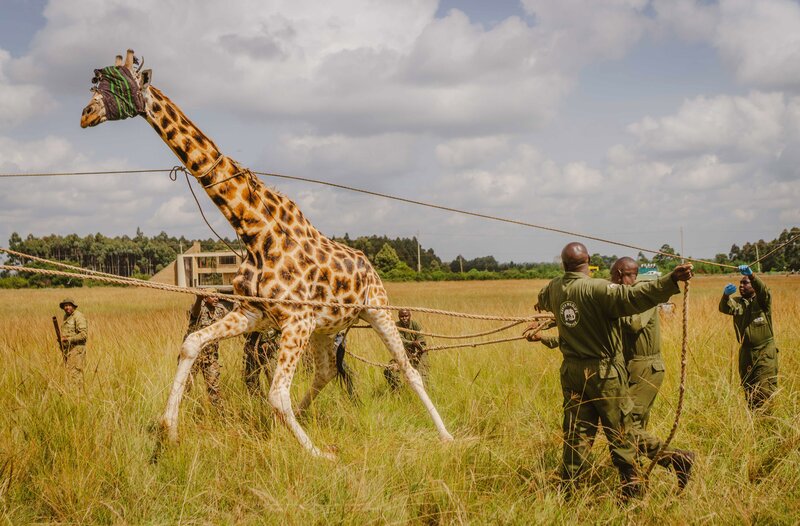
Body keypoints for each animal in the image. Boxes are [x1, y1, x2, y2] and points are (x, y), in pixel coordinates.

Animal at [80, 50, 453, 459]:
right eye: (97, 79)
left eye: (118, 82)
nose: (85, 114)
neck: (254, 231)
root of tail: (369, 264)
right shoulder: (257, 313)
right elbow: (192, 344)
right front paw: (168, 430)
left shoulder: (294, 320)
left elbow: (276, 395)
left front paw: (320, 455)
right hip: (325, 326)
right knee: (325, 372)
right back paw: (302, 418)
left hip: (377, 310)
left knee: (408, 369)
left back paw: (446, 436)